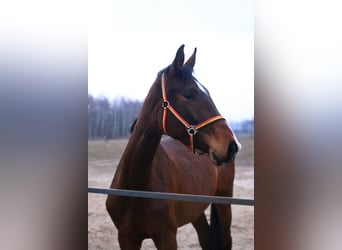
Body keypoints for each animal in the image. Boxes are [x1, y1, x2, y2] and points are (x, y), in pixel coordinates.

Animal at [105, 45, 239, 250]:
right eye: (190, 94)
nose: (232, 145)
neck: (136, 186)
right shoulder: (126, 238)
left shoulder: (166, 237)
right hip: (196, 211)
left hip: (224, 204)